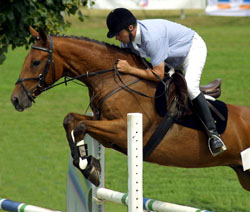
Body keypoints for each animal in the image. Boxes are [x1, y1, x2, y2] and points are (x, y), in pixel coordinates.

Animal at [11, 27, 250, 190]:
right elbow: (70, 120)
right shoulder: (101, 121)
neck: (113, 79)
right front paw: (87, 163)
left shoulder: (120, 130)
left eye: (35, 62)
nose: (15, 100)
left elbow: (80, 126)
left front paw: (88, 165)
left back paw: (216, 142)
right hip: (243, 174)